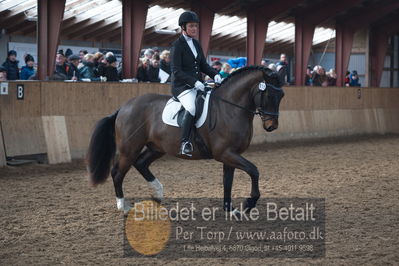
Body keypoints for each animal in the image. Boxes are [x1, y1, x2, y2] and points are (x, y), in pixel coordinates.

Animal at [86, 66, 284, 214]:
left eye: (281, 96)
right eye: (268, 95)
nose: (271, 126)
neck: (229, 109)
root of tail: (124, 107)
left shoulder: (230, 155)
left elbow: (228, 181)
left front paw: (230, 210)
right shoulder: (225, 153)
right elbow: (254, 171)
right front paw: (249, 203)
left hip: (157, 147)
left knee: (141, 163)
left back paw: (158, 194)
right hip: (130, 149)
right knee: (117, 172)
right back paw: (123, 206)